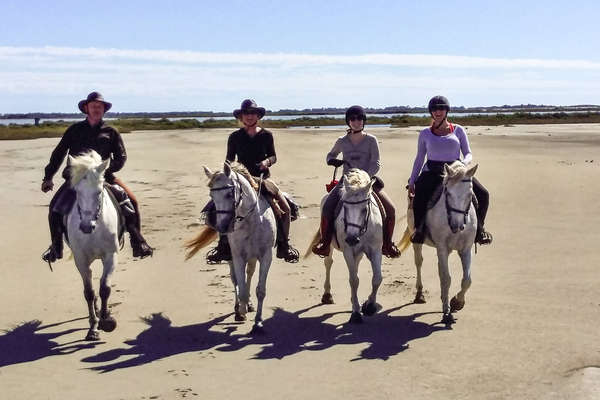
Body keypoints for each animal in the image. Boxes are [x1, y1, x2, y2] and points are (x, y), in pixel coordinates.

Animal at [66, 150, 120, 340]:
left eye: (98, 192)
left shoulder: (111, 256)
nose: (86, 227)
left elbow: (105, 288)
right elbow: (89, 292)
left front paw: (106, 320)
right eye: (76, 191)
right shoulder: (81, 259)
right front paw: (93, 327)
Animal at [192, 162, 276, 332]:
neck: (251, 220)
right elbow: (240, 286)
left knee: (249, 273)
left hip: (252, 256)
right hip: (231, 256)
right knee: (235, 279)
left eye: (229, 194)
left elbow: (260, 290)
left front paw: (258, 322)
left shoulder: (266, 256)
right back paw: (239, 307)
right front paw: (241, 312)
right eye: (212, 196)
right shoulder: (237, 256)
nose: (222, 227)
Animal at [308, 169, 382, 324]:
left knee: (356, 265)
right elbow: (354, 280)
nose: (352, 238)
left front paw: (369, 306)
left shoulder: (376, 250)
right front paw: (356, 313)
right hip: (330, 246)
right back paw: (327, 295)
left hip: (358, 252)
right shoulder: (348, 250)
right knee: (328, 262)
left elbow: (377, 278)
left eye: (364, 209)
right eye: (345, 207)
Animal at [398, 161, 478, 324]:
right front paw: (447, 313)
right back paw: (419, 294)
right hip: (417, 240)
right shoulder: (442, 248)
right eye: (447, 193)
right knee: (419, 262)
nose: (456, 226)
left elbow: (467, 280)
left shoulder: (466, 249)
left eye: (469, 195)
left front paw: (457, 302)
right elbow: (447, 278)